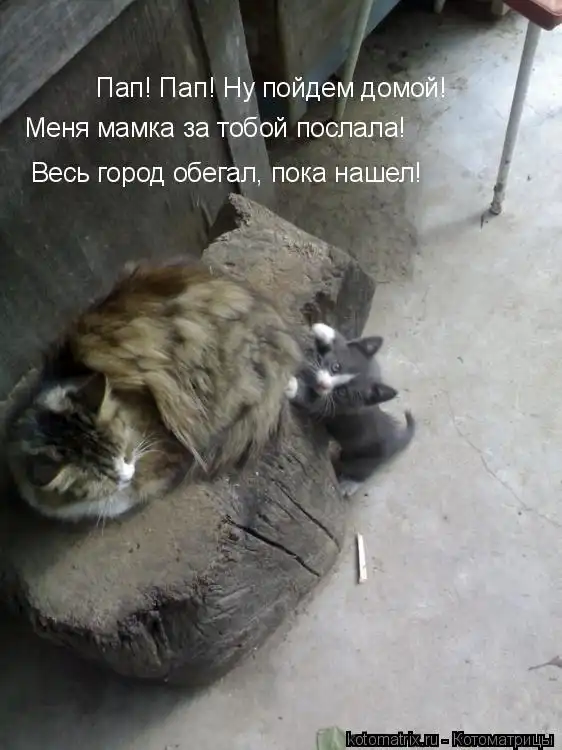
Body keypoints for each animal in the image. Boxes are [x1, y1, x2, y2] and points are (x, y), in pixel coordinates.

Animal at [285, 323, 415, 497]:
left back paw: (349, 484)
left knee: (361, 470)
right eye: (335, 367)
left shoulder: (332, 408)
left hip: (367, 458)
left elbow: (311, 401)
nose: (323, 384)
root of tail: (395, 438)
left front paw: (291, 385)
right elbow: (346, 340)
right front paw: (323, 329)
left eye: (342, 392)